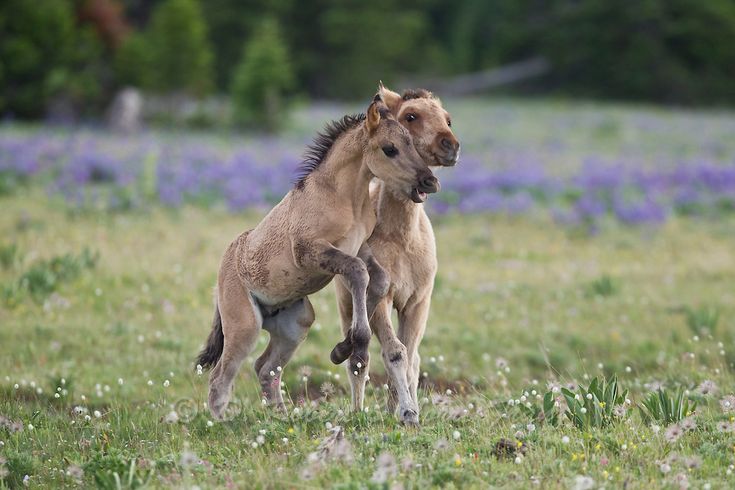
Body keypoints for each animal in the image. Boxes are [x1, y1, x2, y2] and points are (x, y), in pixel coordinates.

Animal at [197, 96, 436, 422]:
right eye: (390, 148)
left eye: (411, 142)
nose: (430, 181)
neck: (345, 196)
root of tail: (221, 277)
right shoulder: (311, 252)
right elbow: (360, 274)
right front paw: (353, 342)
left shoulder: (359, 248)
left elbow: (379, 280)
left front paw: (342, 348)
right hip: (244, 328)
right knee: (219, 378)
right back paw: (223, 424)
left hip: (296, 325)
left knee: (265, 367)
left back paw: (281, 418)